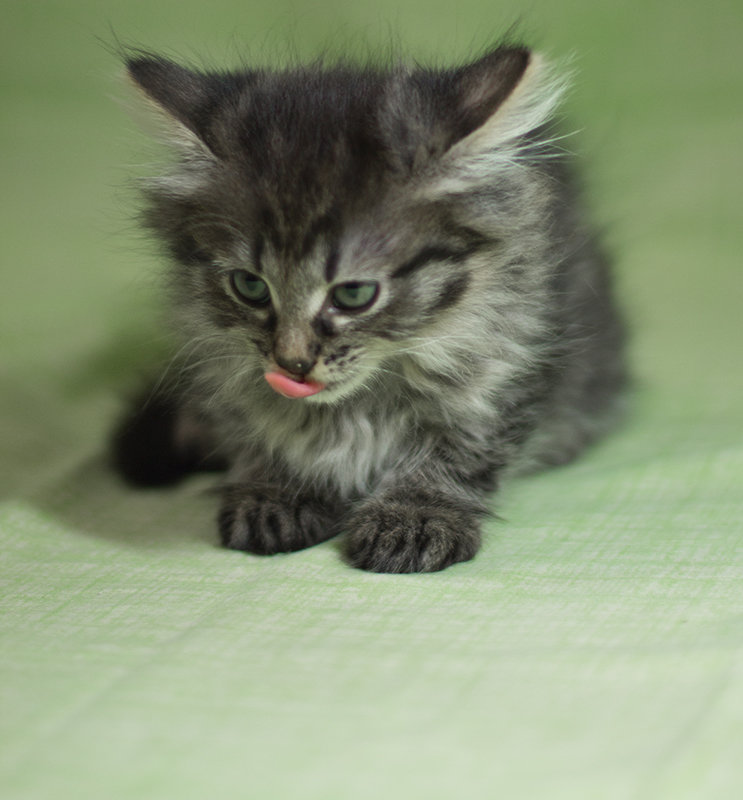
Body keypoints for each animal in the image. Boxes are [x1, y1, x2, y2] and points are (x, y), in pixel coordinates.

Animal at [113, 43, 624, 572]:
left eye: (354, 295)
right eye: (250, 286)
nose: (291, 362)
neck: (358, 404)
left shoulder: (508, 369)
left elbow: (459, 454)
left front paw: (415, 514)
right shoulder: (221, 368)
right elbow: (259, 431)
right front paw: (276, 491)